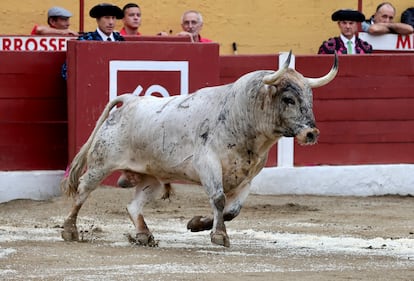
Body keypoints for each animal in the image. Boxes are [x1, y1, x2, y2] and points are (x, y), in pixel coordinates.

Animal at [62, 51, 340, 246]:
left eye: (310, 98)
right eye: (288, 99)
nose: (311, 133)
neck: (242, 117)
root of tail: (130, 100)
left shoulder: (248, 178)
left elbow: (232, 210)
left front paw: (197, 224)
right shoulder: (208, 164)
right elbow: (218, 199)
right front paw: (219, 236)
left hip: (152, 178)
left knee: (134, 206)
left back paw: (144, 236)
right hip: (101, 163)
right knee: (83, 190)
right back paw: (70, 230)